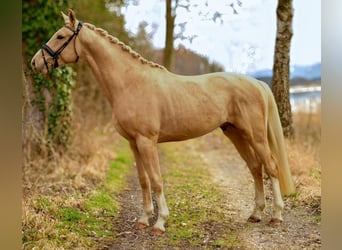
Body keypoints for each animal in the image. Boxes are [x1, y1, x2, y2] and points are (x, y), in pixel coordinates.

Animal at [30, 9, 296, 235]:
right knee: (255, 168)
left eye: (61, 36)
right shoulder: (133, 143)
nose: (35, 62)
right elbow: (143, 180)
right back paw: (255, 214)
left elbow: (157, 180)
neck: (129, 83)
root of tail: (257, 83)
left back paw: (276, 216)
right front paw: (142, 219)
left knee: (270, 167)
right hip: (235, 133)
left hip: (256, 135)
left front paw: (159, 223)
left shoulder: (147, 141)